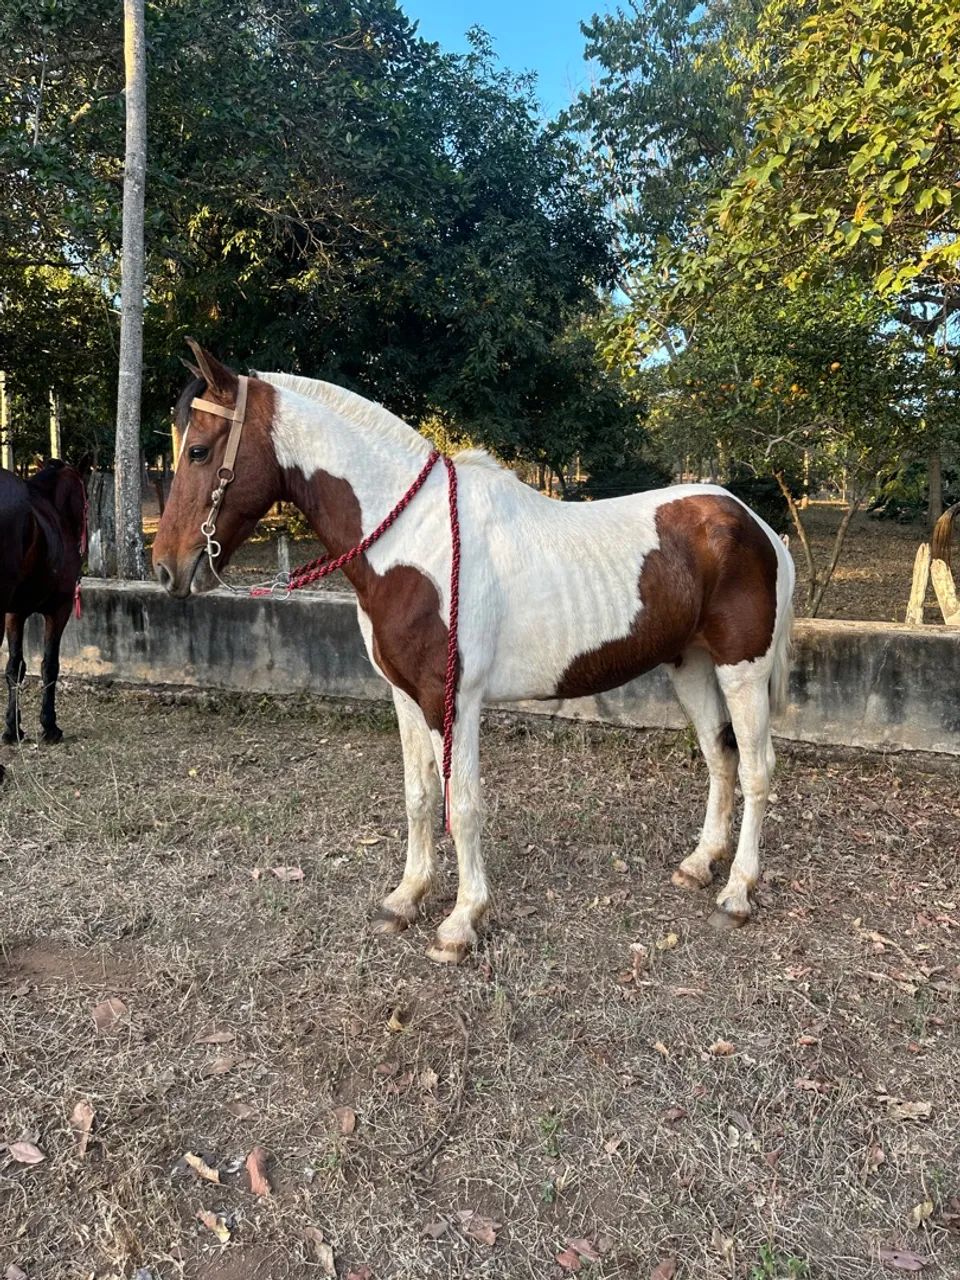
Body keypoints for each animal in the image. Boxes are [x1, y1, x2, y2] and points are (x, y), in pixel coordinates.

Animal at [1, 460, 87, 751]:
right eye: (85, 503)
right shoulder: (59, 609)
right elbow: (50, 664)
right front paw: (49, 726)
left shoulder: (14, 613)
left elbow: (15, 666)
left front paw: (12, 728)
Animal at [154, 342, 795, 963]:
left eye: (200, 451)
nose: (166, 568)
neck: (415, 538)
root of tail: (758, 526)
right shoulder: (405, 696)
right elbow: (418, 798)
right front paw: (406, 898)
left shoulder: (452, 700)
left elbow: (461, 806)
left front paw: (461, 922)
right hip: (691, 666)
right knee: (721, 759)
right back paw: (699, 865)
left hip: (742, 671)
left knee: (756, 770)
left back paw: (737, 892)